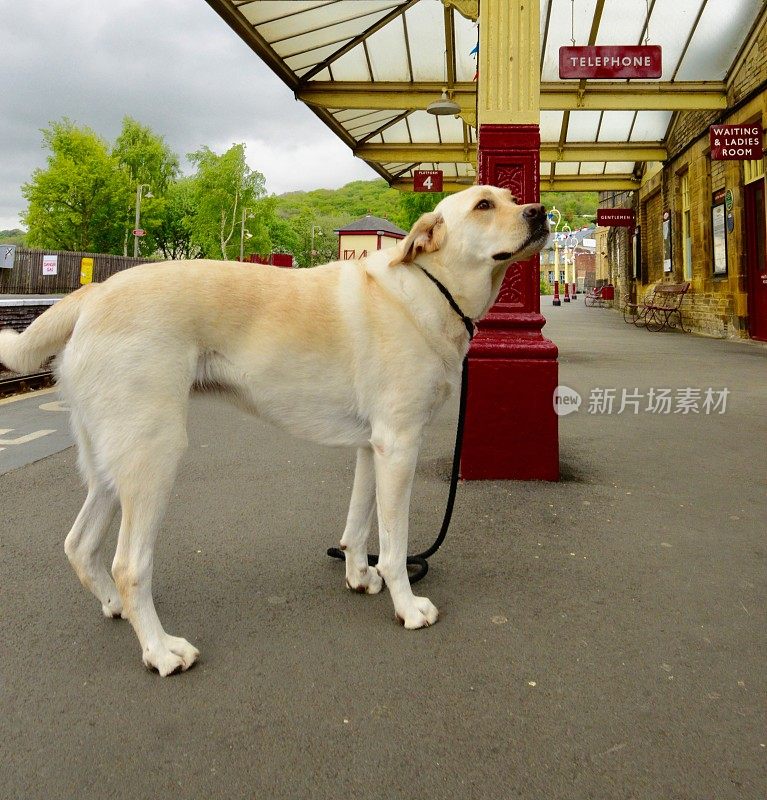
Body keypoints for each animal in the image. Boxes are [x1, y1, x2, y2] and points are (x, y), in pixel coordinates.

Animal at [3, 186, 548, 676]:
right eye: (483, 205)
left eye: (510, 196)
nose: (540, 211)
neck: (429, 287)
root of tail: (94, 293)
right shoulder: (399, 445)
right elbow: (394, 545)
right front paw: (407, 606)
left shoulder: (373, 447)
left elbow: (358, 524)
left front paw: (358, 575)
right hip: (153, 456)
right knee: (129, 566)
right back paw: (160, 650)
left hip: (110, 465)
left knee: (79, 545)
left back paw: (116, 608)